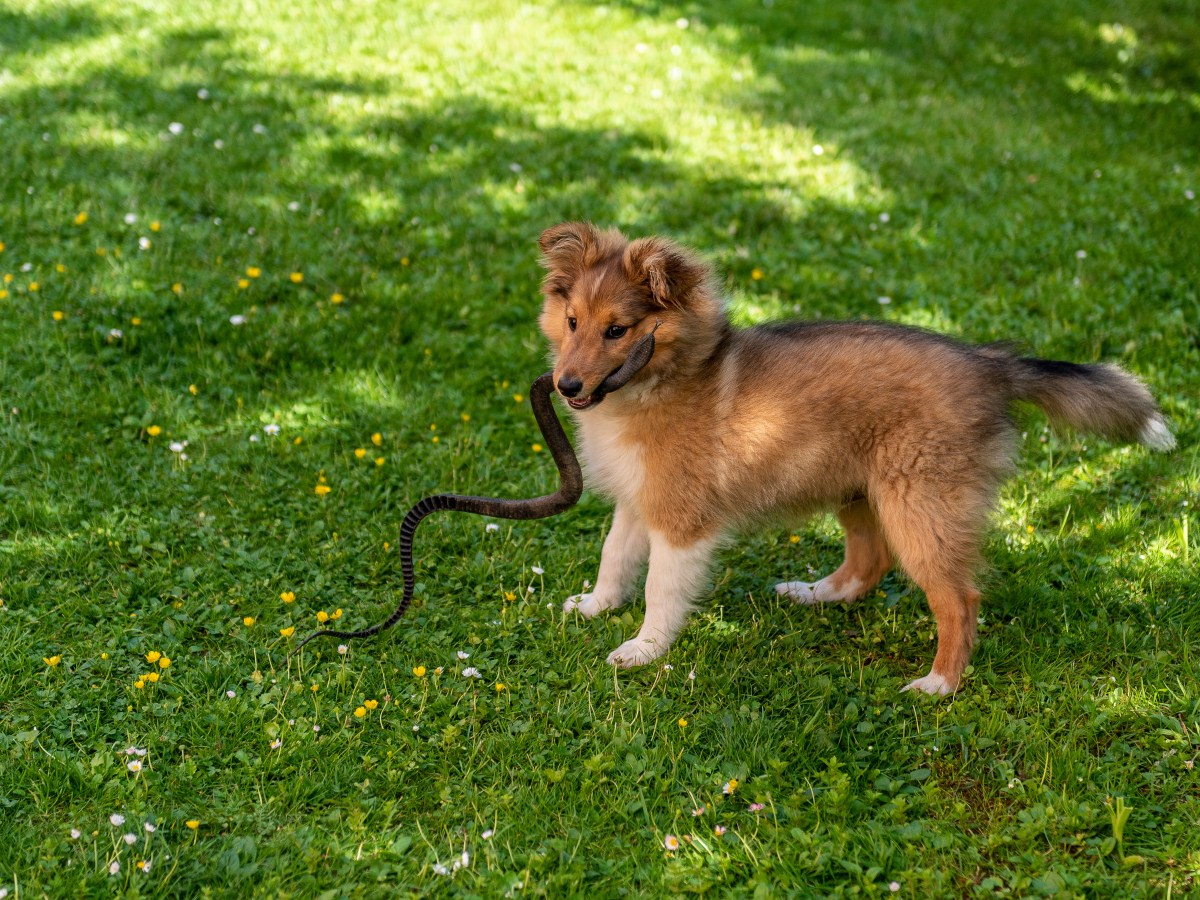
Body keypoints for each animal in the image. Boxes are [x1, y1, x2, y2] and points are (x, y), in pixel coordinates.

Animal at [540, 222, 1176, 696]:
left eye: (618, 331)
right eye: (572, 322)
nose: (566, 387)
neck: (661, 381)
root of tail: (993, 364)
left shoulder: (680, 519)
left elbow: (660, 590)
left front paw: (642, 650)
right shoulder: (637, 499)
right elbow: (615, 558)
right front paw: (595, 607)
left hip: (919, 504)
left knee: (958, 598)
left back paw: (939, 683)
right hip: (856, 487)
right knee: (869, 563)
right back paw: (814, 594)